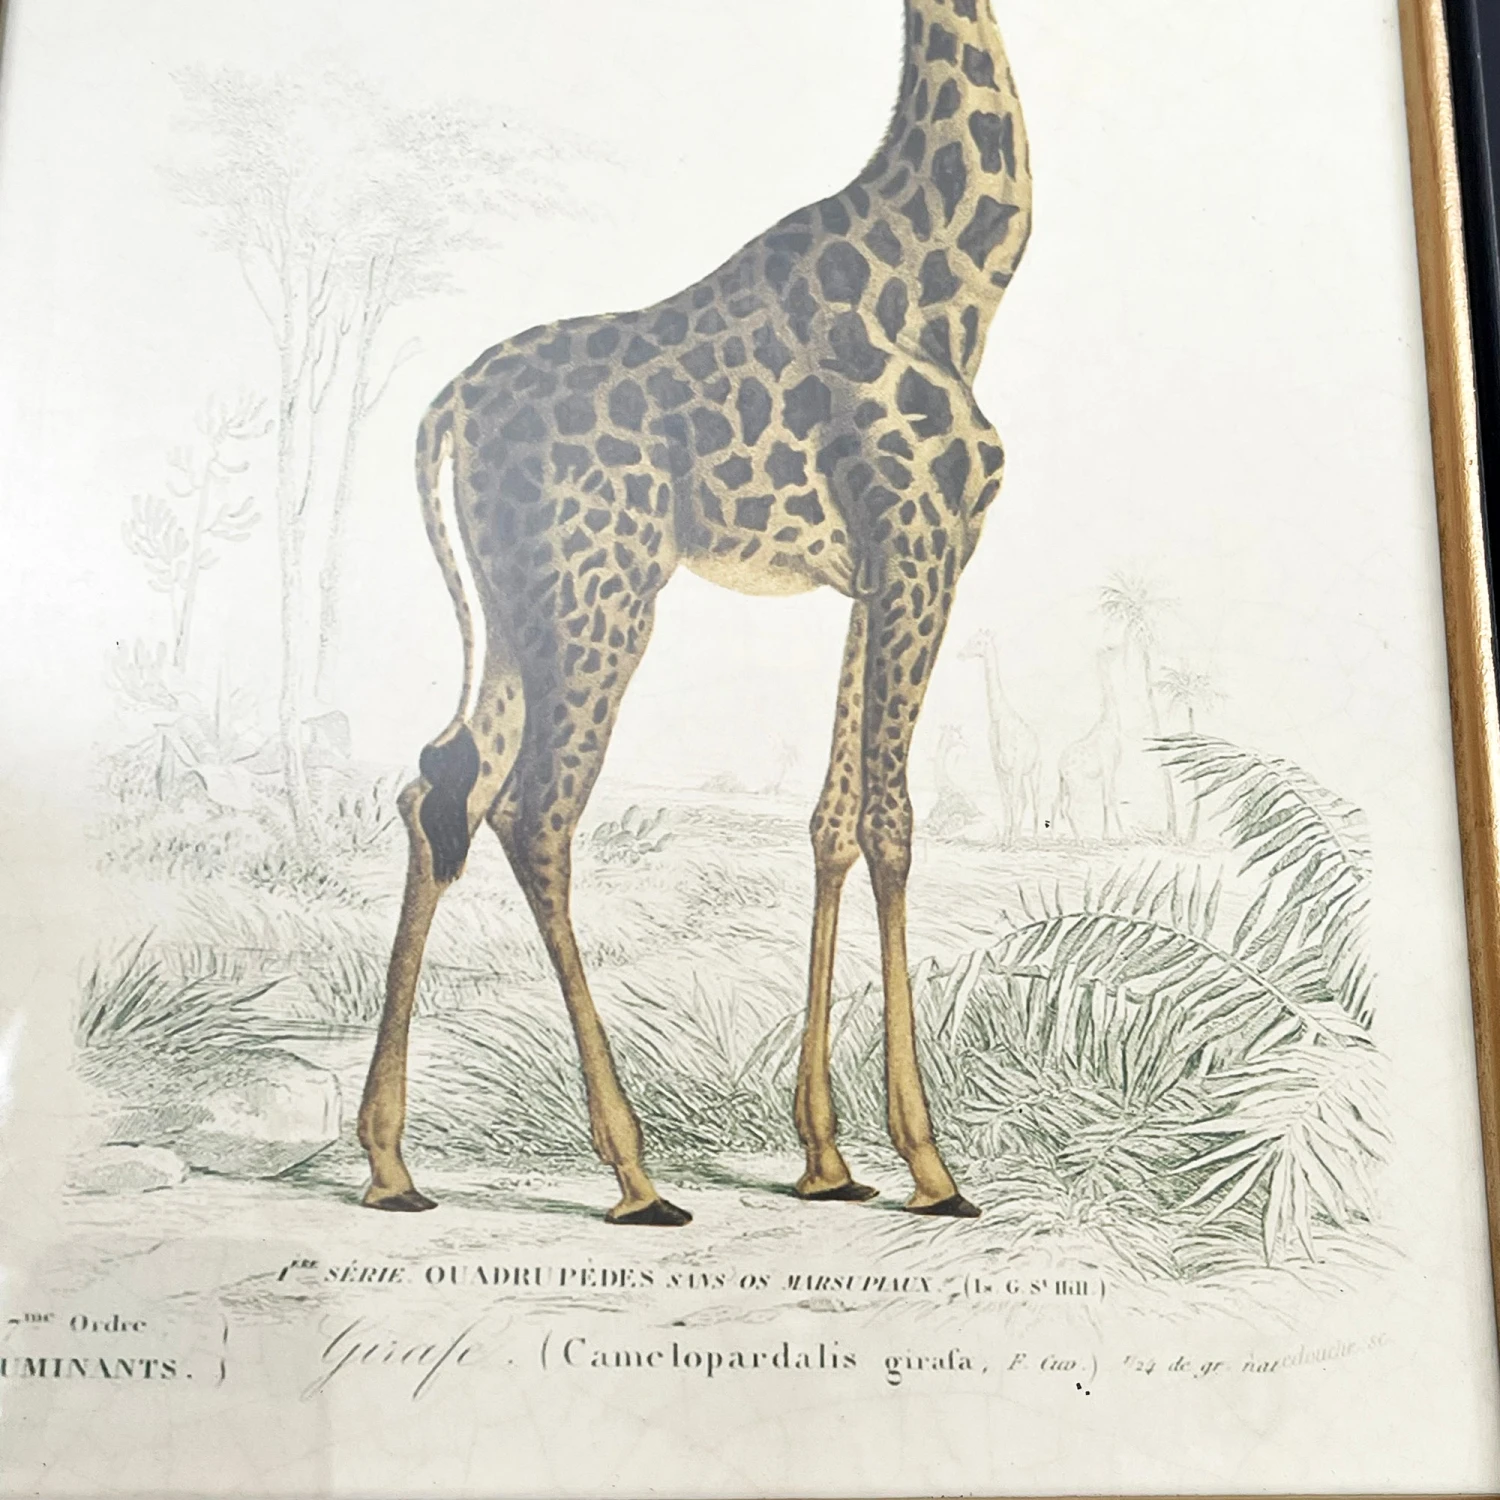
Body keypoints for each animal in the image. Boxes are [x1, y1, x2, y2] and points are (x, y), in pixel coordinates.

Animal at [959, 629, 1040, 840]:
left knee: (1035, 800)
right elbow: (1005, 800)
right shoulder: (999, 767)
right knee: (1023, 798)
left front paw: (1010, 839)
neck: (998, 718)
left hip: (1034, 771)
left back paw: (1036, 838)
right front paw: (1005, 838)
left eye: (979, 642)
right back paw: (1018, 834)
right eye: (970, 639)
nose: (960, 654)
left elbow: (1012, 800)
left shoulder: (1015, 767)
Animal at [1056, 645, 1126, 841]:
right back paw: (1081, 839)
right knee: (1069, 809)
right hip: (1076, 784)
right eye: (1109, 649)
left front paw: (1122, 833)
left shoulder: (1112, 770)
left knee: (1057, 805)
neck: (1109, 723)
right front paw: (1107, 835)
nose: (1121, 649)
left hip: (1065, 784)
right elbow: (1107, 800)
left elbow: (1113, 799)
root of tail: (1060, 767)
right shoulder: (1108, 768)